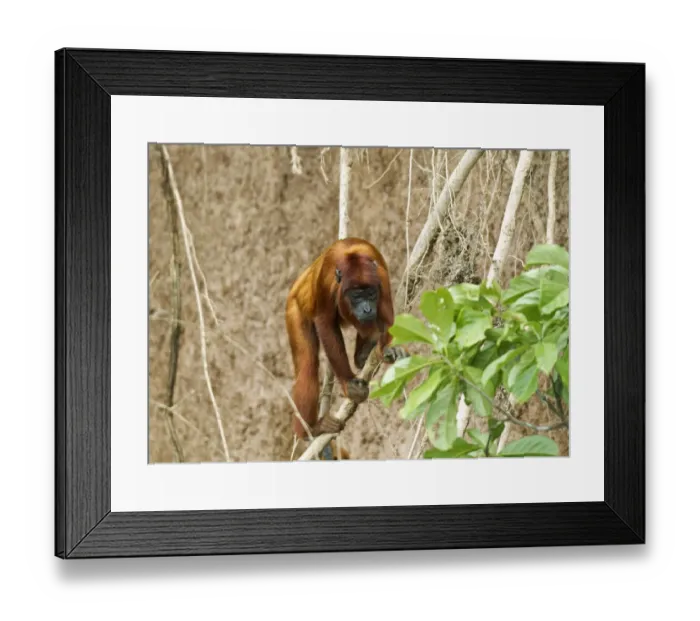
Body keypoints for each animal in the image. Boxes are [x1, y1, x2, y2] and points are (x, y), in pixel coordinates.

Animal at [285, 237, 405, 441]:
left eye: (371, 293)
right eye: (356, 295)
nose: (367, 308)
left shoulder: (381, 277)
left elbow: (387, 317)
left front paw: (390, 348)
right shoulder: (326, 279)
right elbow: (325, 321)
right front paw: (349, 384)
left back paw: (364, 355)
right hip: (294, 307)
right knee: (308, 367)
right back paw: (311, 429)